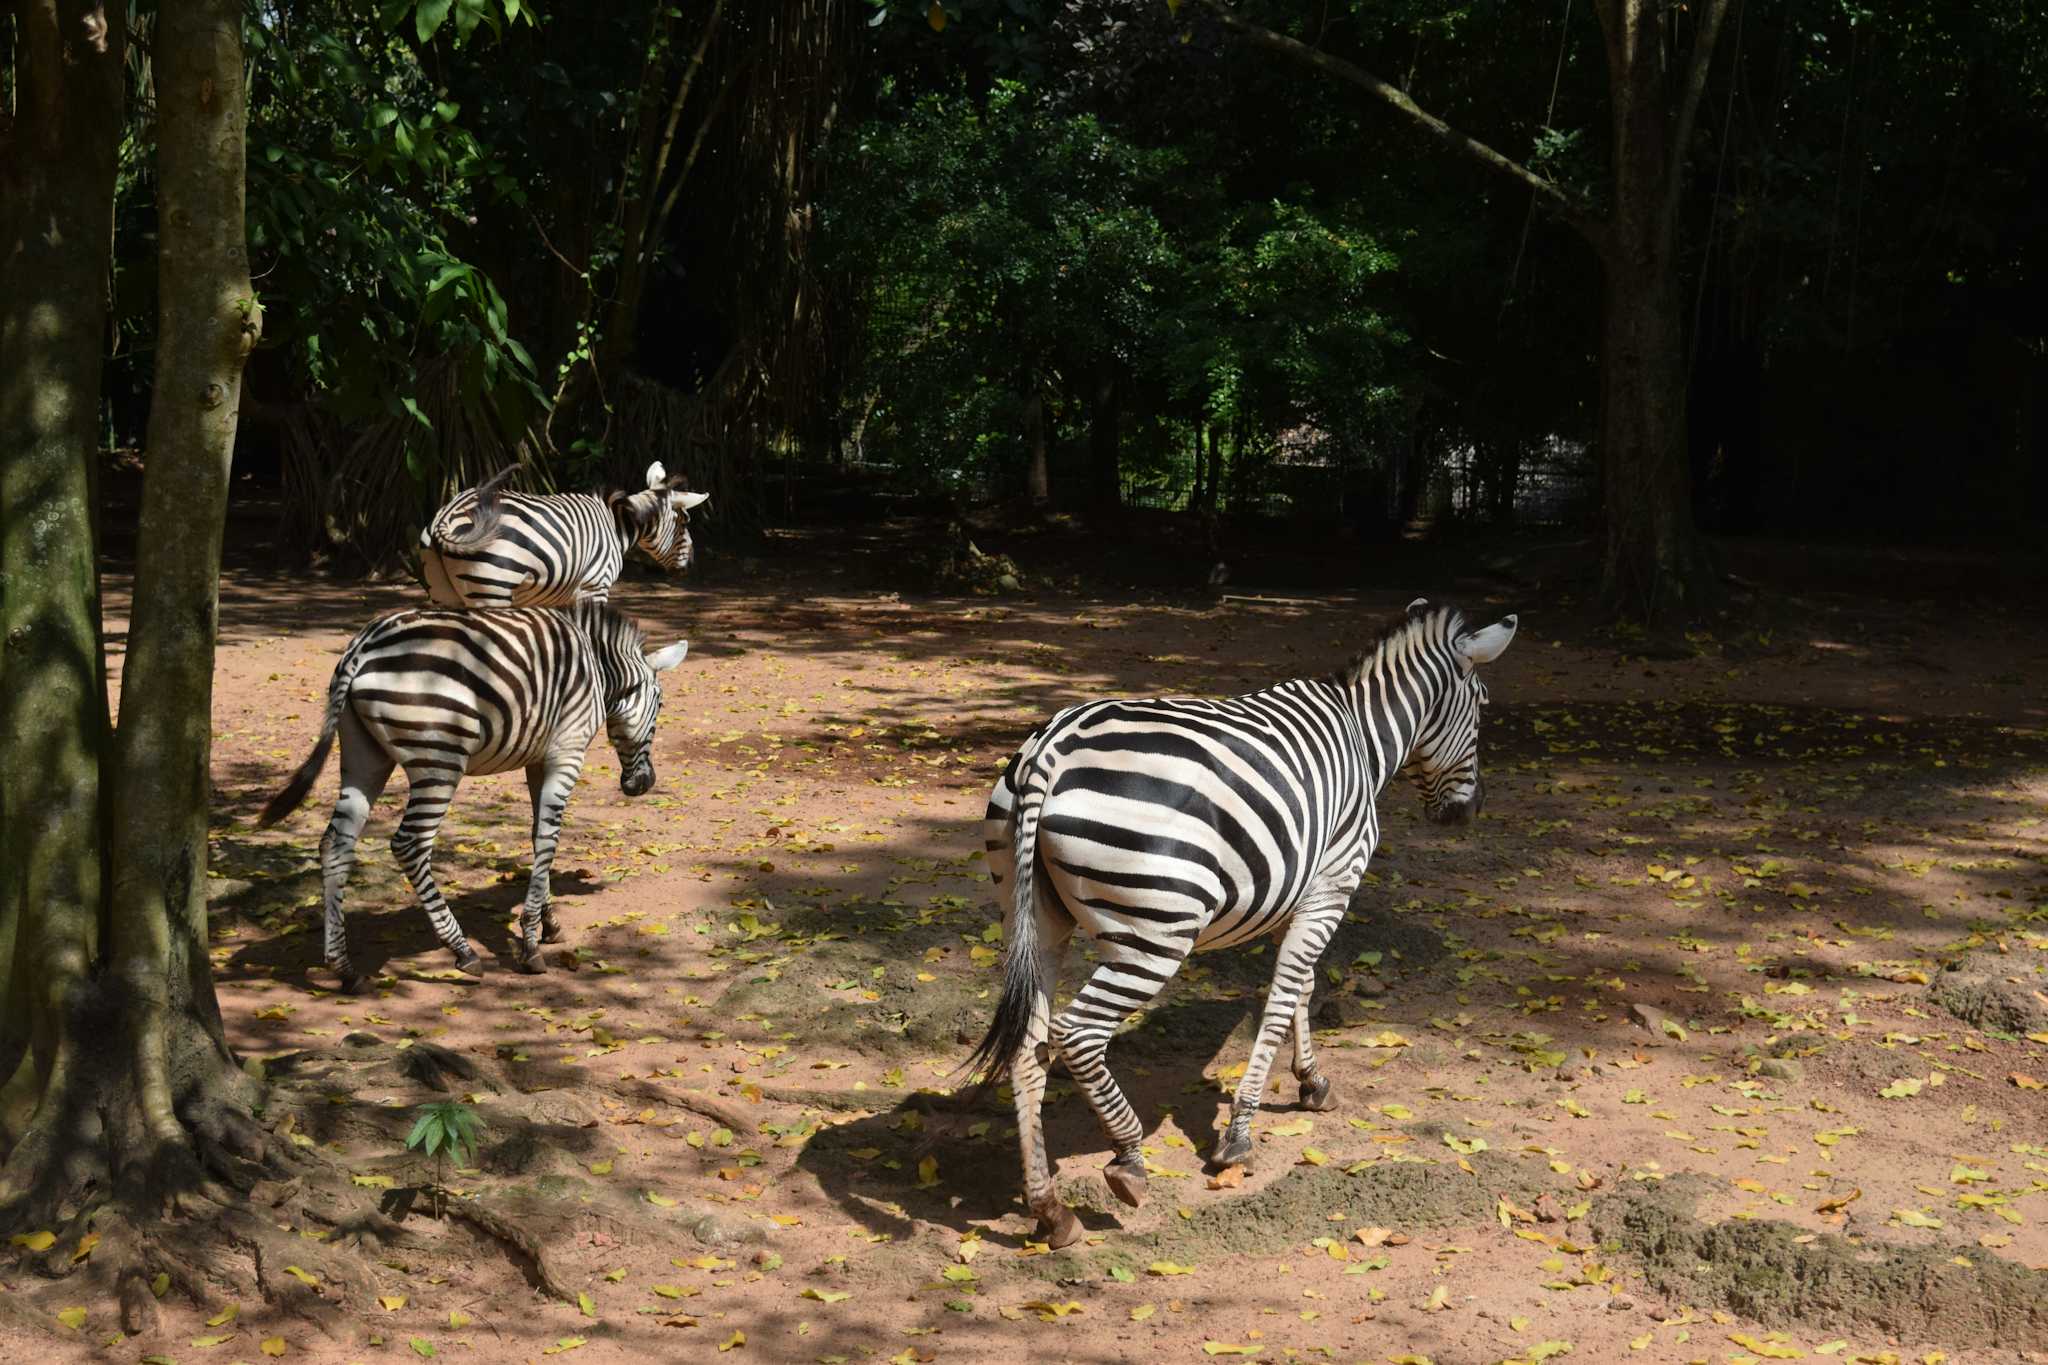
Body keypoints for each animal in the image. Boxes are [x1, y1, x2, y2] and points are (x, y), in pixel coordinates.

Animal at [260, 597, 692, 994]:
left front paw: (549, 923)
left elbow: (537, 836)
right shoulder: (567, 753)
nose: (643, 784)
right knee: (409, 844)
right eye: (660, 704)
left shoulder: (539, 759)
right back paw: (462, 951)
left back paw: (344, 968)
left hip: (364, 755)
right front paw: (531, 945)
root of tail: (363, 646)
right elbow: (549, 839)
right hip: (439, 761)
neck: (597, 666)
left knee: (335, 843)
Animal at [417, 462, 712, 605]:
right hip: (491, 588)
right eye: (685, 522)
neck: (617, 526)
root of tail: (449, 513)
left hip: (443, 593)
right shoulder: (595, 587)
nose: (692, 564)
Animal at [962, 597, 1523, 1252]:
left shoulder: (1298, 891)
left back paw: (1049, 1208)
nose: (1470, 812)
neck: (1364, 736)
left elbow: (1302, 986)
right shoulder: (1333, 884)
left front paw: (1311, 1082)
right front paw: (1240, 1134)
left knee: (1029, 1044)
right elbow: (1282, 997)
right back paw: (1128, 1158)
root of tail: (1051, 749)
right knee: (1076, 1033)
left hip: (1032, 919)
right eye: (1481, 706)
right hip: (1155, 936)